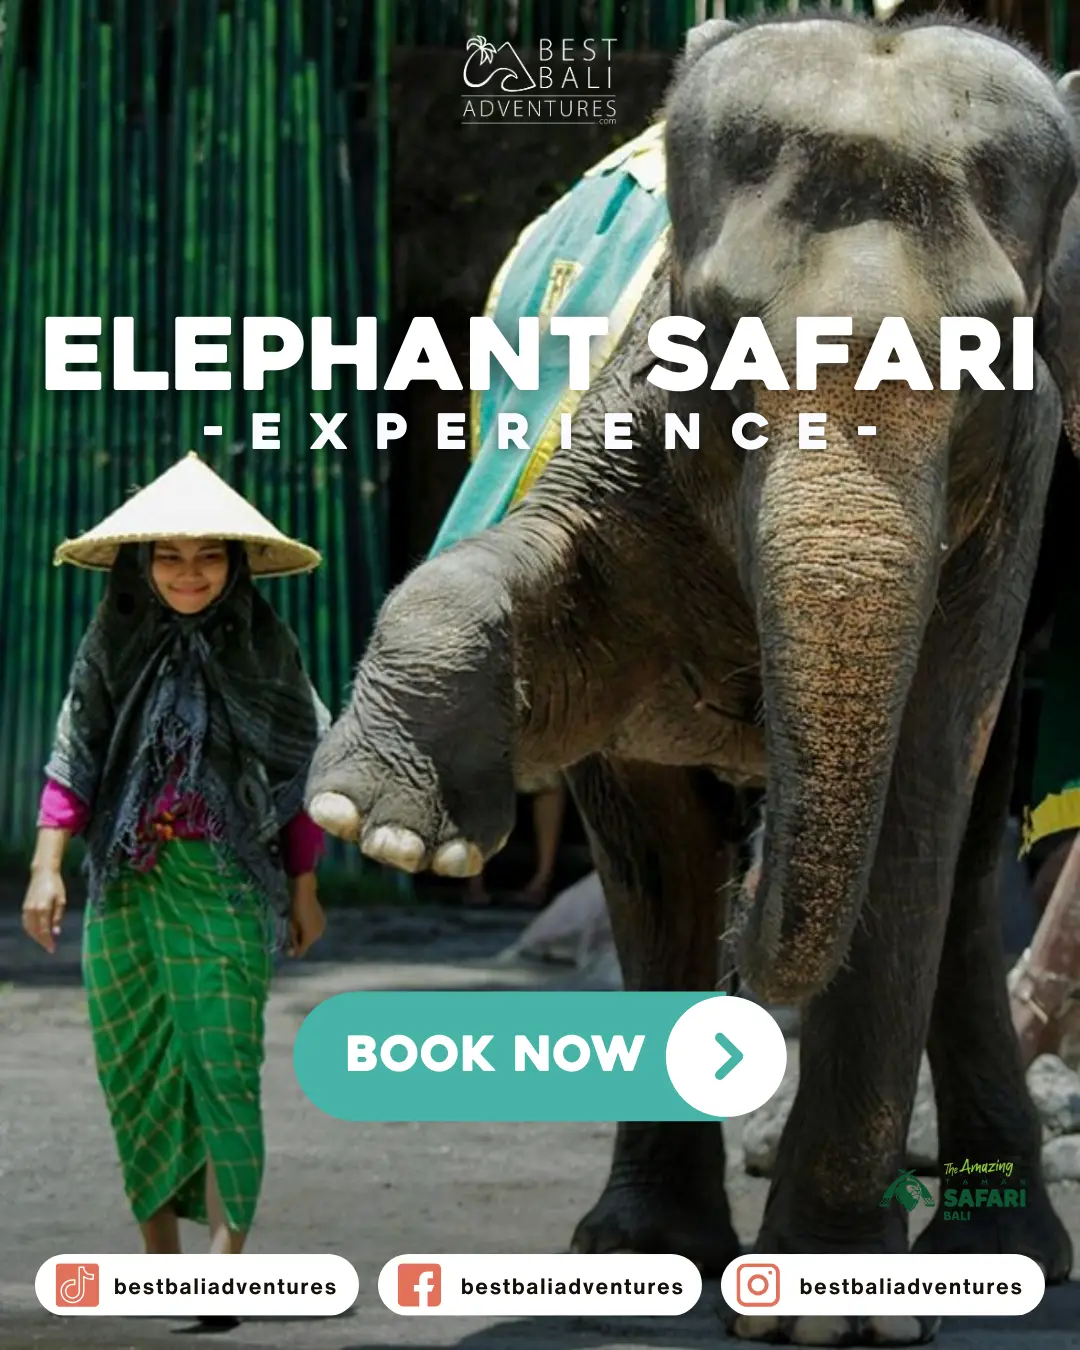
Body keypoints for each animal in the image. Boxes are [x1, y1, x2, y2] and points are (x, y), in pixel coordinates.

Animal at [306, 12, 1080, 1347]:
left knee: (963, 868)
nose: (758, 858)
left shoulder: (1016, 520)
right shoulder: (627, 426)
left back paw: (1005, 1262)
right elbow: (563, 637)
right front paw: (384, 825)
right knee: (654, 862)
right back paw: (645, 1252)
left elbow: (918, 791)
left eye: (996, 351)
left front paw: (835, 1311)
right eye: (711, 322)